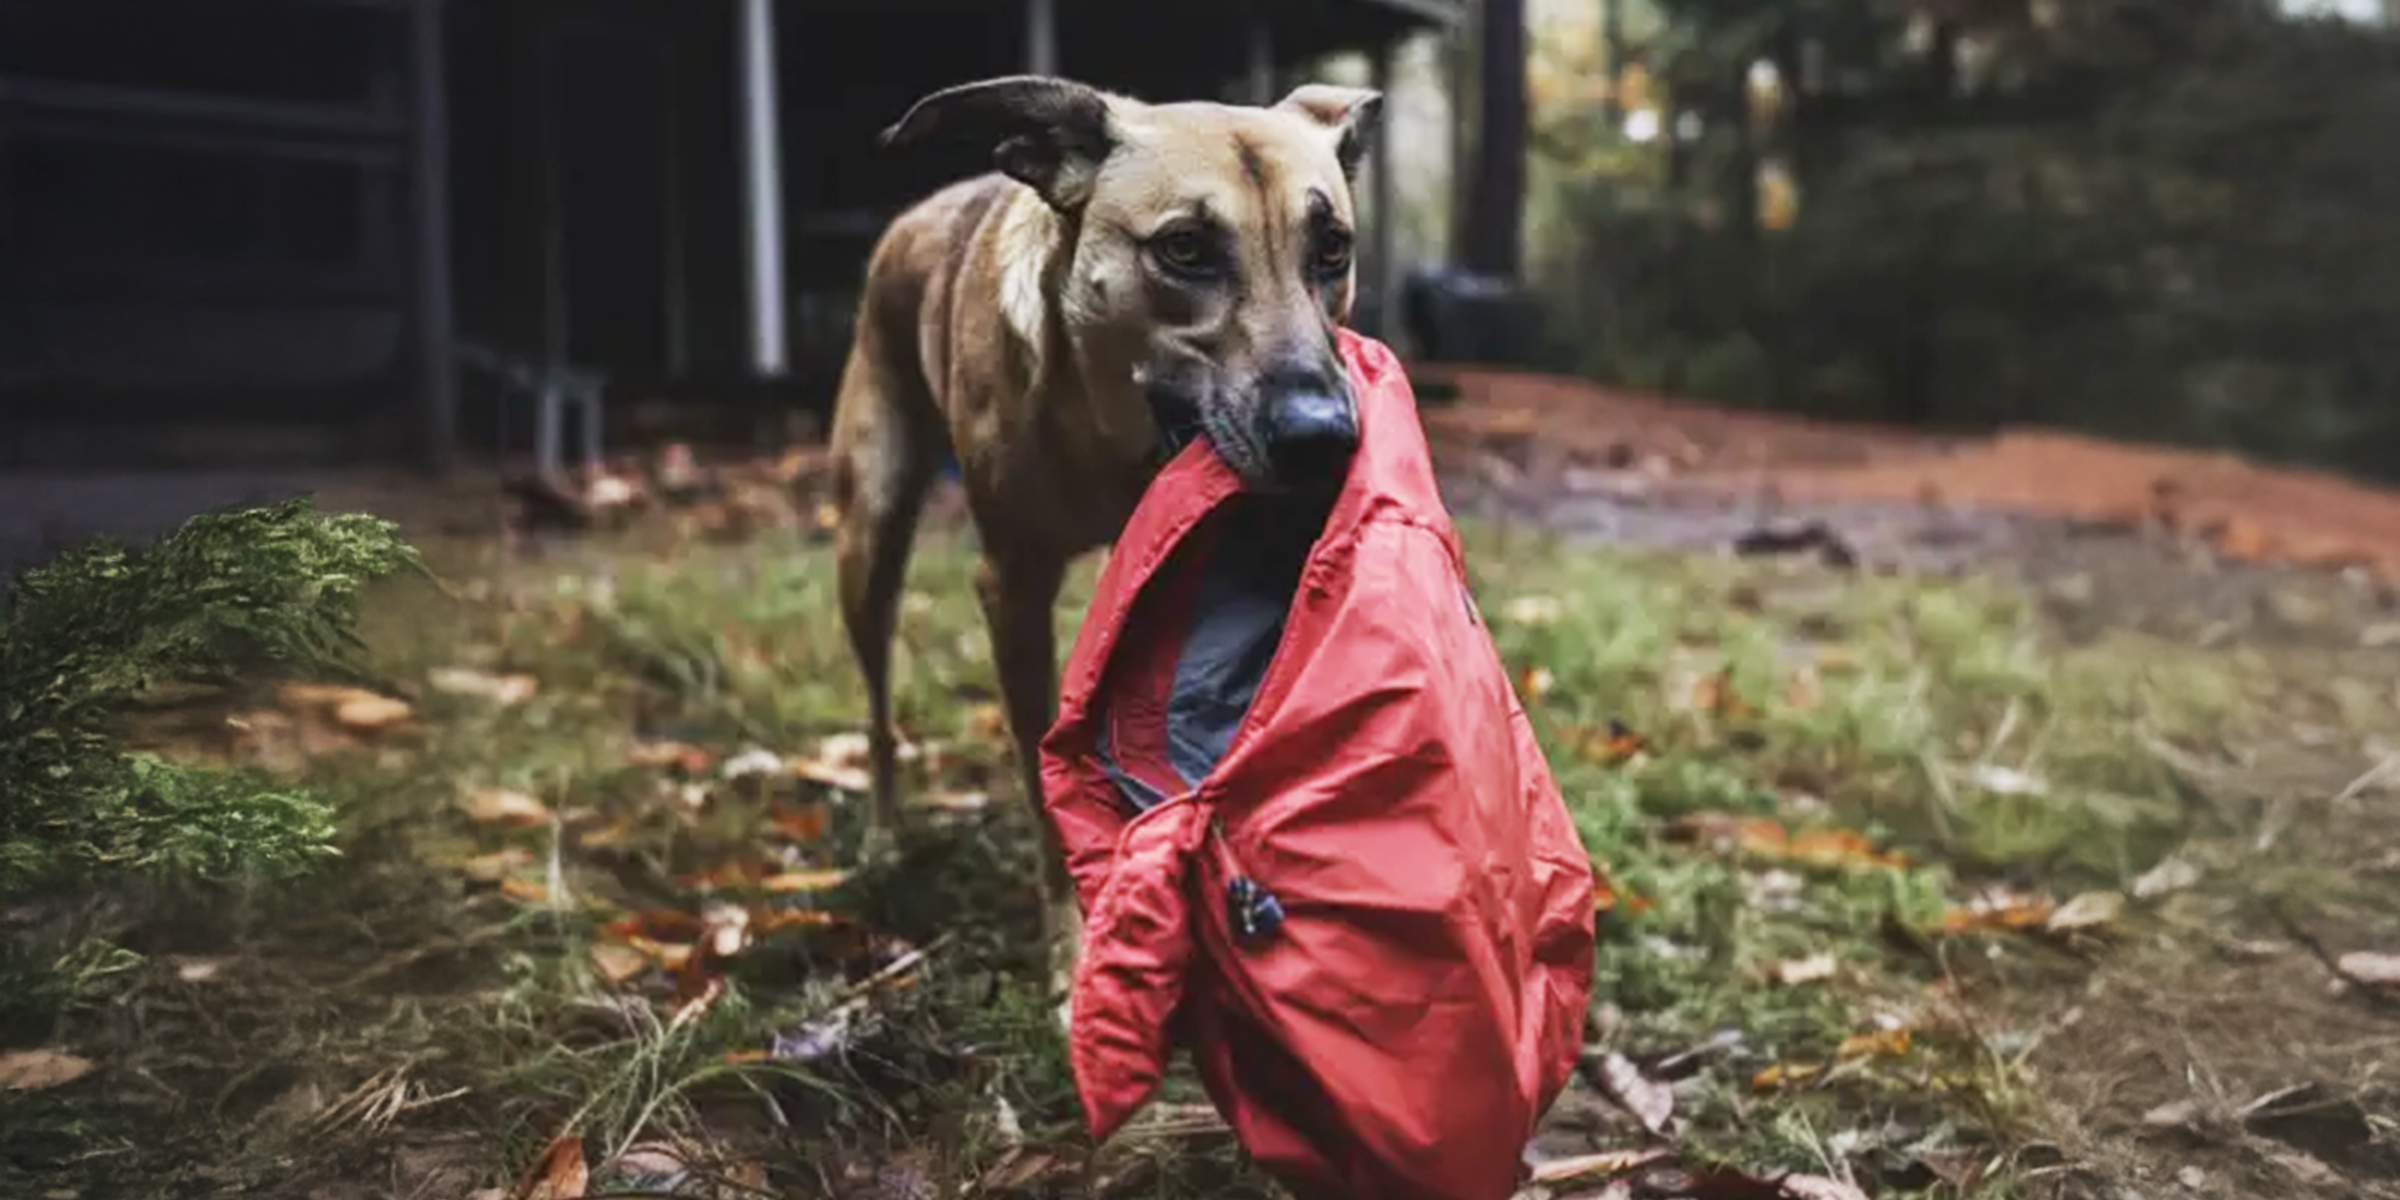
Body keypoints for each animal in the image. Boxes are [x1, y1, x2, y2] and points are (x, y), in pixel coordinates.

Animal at [825, 72, 1392, 993]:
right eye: (1186, 249)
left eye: (1332, 248)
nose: (1325, 441)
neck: (1112, 434)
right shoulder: (1012, 587)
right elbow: (1038, 769)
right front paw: (1072, 947)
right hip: (869, 537)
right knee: (876, 710)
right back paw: (881, 838)